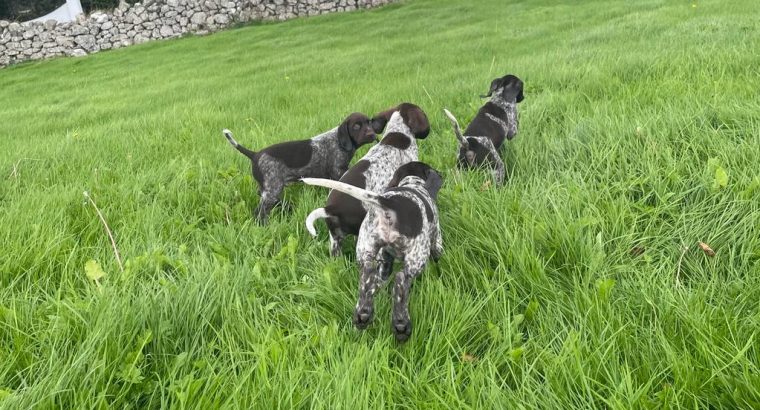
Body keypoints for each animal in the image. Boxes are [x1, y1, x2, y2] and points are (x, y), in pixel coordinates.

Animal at [224, 112, 378, 224]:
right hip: (272, 190)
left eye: (369, 123)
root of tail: (255, 154)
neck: (338, 141)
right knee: (260, 212)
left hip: (268, 189)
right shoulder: (337, 171)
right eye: (356, 126)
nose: (372, 134)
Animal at [302, 162, 446, 342]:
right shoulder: (436, 239)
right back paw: (401, 324)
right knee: (400, 281)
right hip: (417, 256)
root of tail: (390, 204)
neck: (412, 184)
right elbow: (438, 257)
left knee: (368, 278)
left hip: (365, 249)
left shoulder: (385, 260)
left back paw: (363, 315)